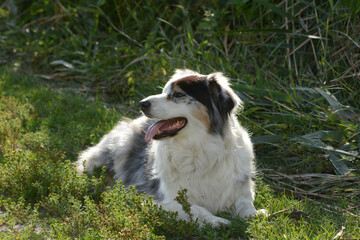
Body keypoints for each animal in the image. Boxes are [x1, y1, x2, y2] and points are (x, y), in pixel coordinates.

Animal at [76, 68, 266, 226]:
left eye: (178, 94)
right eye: (164, 91)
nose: (142, 103)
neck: (198, 149)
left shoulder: (240, 189)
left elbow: (245, 204)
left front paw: (255, 214)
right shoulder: (160, 199)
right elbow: (195, 208)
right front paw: (217, 220)